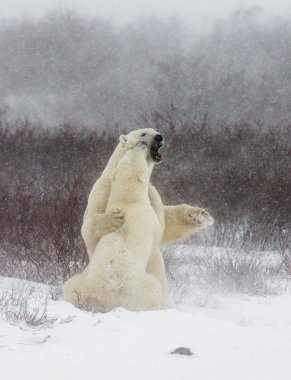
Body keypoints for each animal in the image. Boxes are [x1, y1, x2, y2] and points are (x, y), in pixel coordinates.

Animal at [64, 141, 163, 310]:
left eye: (131, 152)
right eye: (138, 151)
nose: (142, 142)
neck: (127, 201)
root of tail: (103, 300)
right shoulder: (149, 219)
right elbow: (160, 228)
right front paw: (151, 188)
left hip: (80, 286)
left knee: (70, 285)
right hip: (138, 292)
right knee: (154, 287)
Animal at [78, 129, 214, 308]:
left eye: (155, 130)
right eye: (143, 133)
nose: (159, 137)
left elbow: (166, 223)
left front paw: (201, 216)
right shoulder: (102, 190)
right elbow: (89, 227)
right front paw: (113, 220)